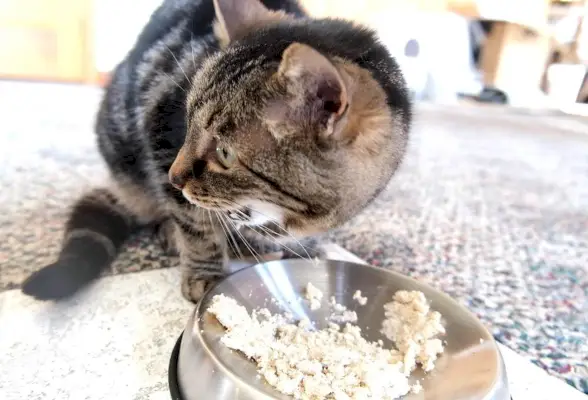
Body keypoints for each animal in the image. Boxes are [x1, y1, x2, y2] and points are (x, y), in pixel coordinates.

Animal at [20, 0, 412, 302]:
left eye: (225, 154)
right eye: (187, 122)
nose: (173, 177)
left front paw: (303, 245)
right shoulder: (161, 128)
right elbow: (197, 223)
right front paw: (205, 272)